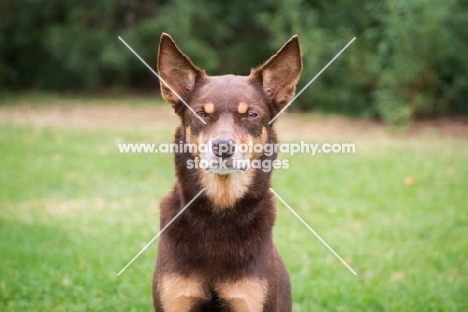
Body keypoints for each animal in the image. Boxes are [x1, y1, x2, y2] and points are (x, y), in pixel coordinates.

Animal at [152, 33, 302, 310]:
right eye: (201, 113)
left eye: (250, 114)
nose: (223, 147)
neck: (219, 215)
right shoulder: (176, 298)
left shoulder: (250, 299)